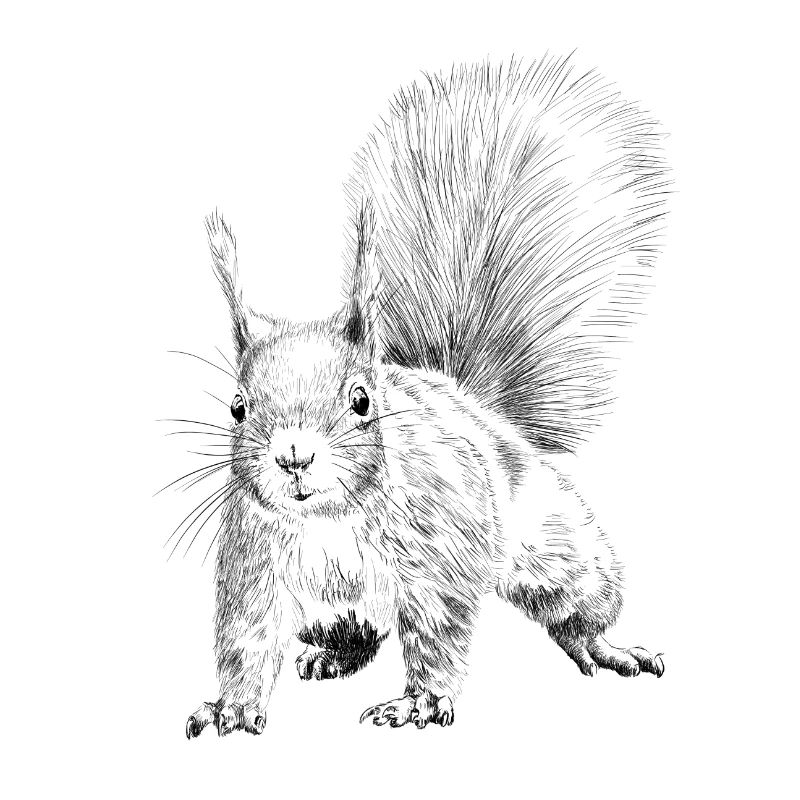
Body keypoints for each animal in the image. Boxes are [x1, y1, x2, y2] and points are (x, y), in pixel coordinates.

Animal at [181, 55, 670, 738]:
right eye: (237, 406)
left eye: (362, 400)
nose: (293, 457)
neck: (328, 520)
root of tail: (467, 398)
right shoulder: (254, 565)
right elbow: (246, 638)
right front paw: (230, 705)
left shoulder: (442, 551)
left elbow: (439, 632)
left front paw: (417, 704)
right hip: (329, 610)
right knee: (356, 634)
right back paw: (328, 657)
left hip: (554, 539)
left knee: (576, 598)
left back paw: (603, 645)